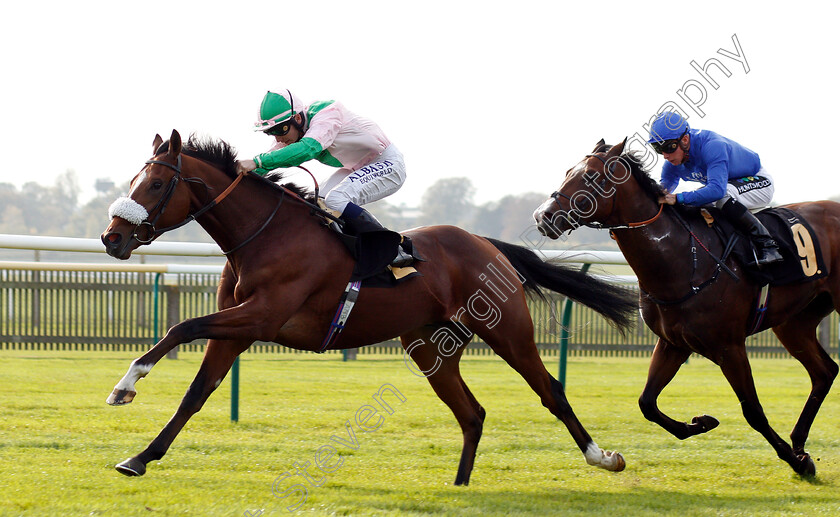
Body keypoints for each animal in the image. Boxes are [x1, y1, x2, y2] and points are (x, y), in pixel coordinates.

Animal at [98, 129, 636, 484]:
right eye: (134, 179)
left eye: (155, 185)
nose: (111, 238)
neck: (265, 235)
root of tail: (488, 245)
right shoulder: (240, 330)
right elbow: (196, 392)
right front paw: (139, 457)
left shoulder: (262, 315)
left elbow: (183, 327)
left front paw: (125, 385)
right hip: (429, 347)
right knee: (472, 413)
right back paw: (459, 486)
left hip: (508, 331)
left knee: (551, 391)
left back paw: (603, 457)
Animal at [536, 137, 836, 476]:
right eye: (567, 172)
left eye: (591, 177)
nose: (543, 217)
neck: (683, 260)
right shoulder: (673, 343)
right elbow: (647, 403)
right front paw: (702, 423)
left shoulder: (729, 347)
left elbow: (753, 412)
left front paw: (796, 461)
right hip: (794, 323)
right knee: (825, 372)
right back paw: (799, 441)